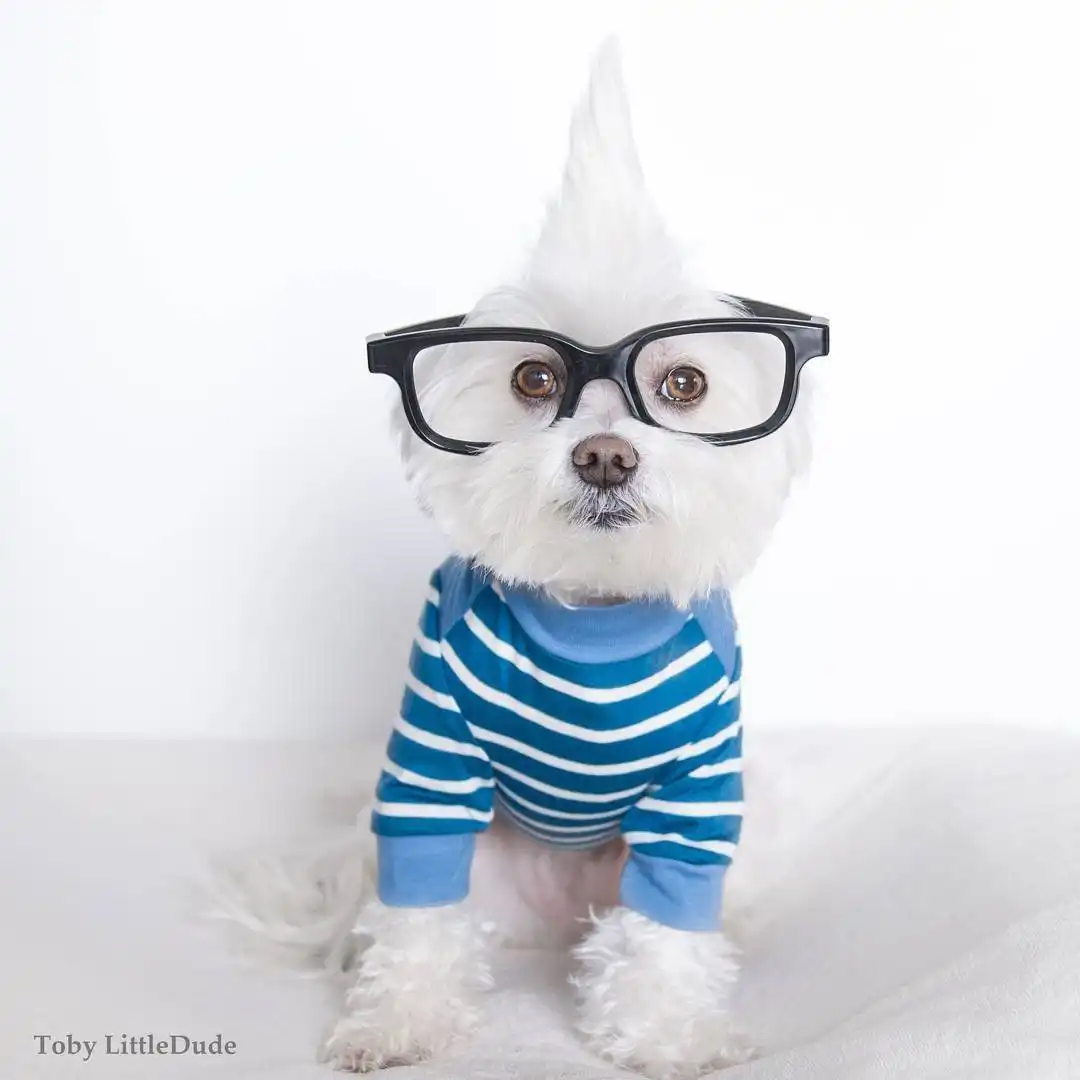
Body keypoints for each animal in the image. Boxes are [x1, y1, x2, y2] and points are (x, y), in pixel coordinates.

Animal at [214, 41, 825, 1080]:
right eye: (534, 377)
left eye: (685, 383)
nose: (605, 456)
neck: (593, 615)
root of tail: (552, 916)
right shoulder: (429, 748)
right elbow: (419, 905)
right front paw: (400, 1018)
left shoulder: (698, 781)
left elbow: (669, 925)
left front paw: (664, 1034)